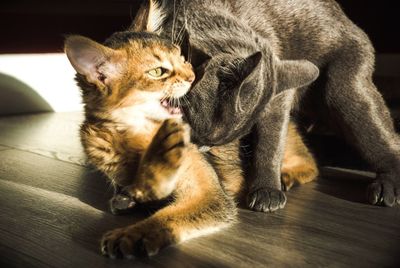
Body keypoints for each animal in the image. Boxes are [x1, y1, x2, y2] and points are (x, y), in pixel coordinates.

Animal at [150, 0, 400, 209]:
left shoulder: (278, 98)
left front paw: (266, 190)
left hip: (344, 88)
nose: (200, 149)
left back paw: (388, 186)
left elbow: (270, 142)